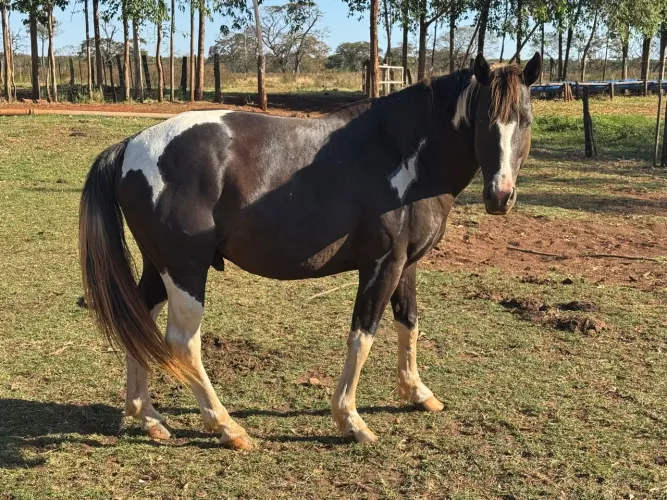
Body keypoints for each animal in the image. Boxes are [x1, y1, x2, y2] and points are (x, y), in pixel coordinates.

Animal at [79, 52, 542, 450]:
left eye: (525, 119)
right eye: (482, 119)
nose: (500, 196)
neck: (406, 154)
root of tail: (131, 145)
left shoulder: (405, 265)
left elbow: (408, 324)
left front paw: (417, 393)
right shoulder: (382, 265)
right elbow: (362, 336)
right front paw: (350, 420)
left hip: (160, 268)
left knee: (139, 320)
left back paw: (148, 416)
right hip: (185, 271)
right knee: (182, 343)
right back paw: (228, 428)